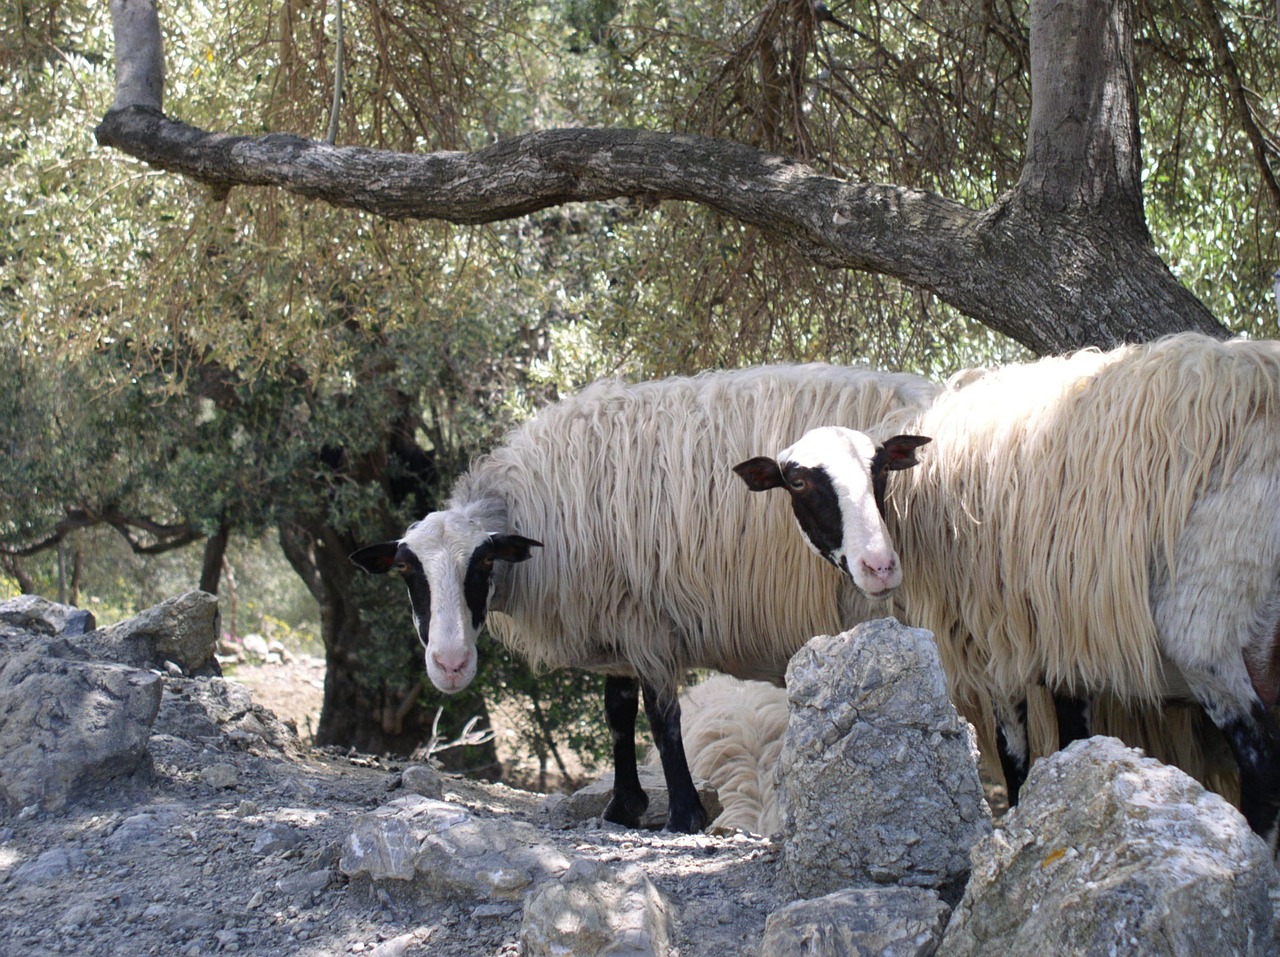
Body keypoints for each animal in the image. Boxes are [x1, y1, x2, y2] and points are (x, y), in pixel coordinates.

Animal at [345, 363, 936, 834]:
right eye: (406, 570)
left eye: (484, 563)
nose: (449, 665)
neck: (537, 516)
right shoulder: (618, 616)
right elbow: (618, 711)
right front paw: (623, 806)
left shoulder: (646, 619)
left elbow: (660, 716)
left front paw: (682, 815)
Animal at [737, 335, 1280, 844]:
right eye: (798, 483)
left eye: (880, 470)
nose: (879, 567)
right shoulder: (1067, 641)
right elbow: (1074, 739)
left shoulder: (997, 645)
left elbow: (1014, 755)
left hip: (1205, 621)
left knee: (1261, 760)